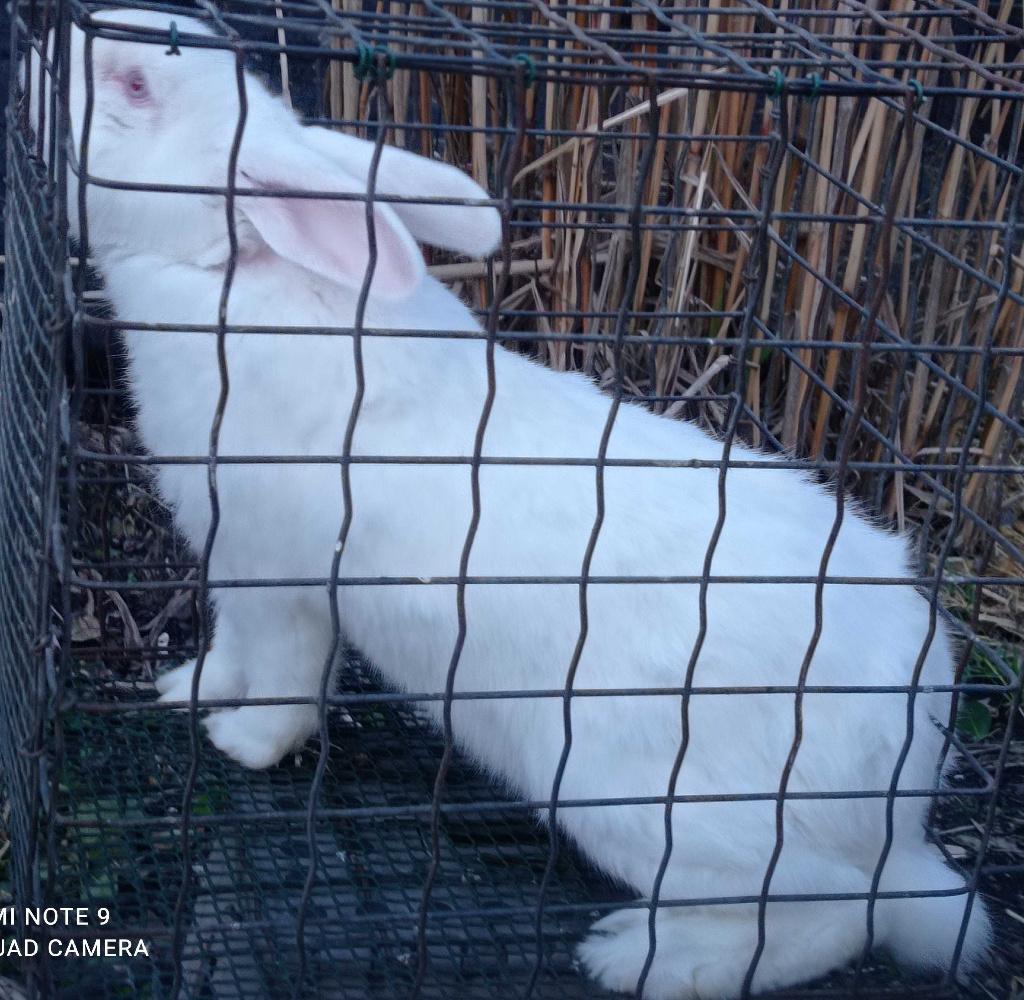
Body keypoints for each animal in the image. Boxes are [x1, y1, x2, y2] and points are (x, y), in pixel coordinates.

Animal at [36, 9, 992, 998]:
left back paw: (644, 960)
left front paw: (240, 742)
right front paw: (185, 690)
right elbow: (229, 647)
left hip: (647, 807)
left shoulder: (280, 578)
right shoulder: (229, 564)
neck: (225, 270)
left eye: (135, 85)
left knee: (829, 915)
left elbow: (286, 679)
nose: (39, 56)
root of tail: (900, 785)